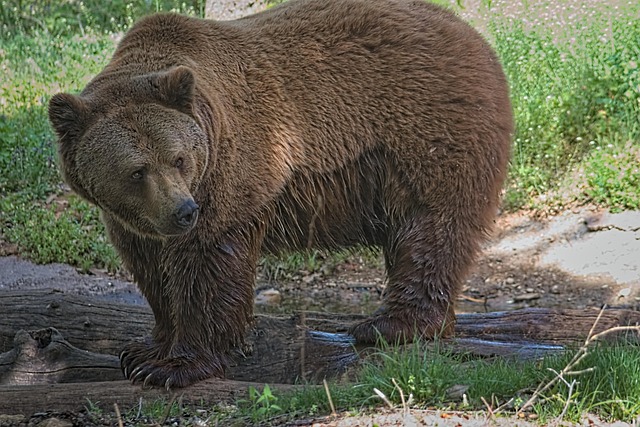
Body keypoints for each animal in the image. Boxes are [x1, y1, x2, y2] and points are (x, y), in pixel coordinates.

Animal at [48, 0, 513, 389]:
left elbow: (207, 266)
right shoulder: (135, 219)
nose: (183, 211)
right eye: (137, 170)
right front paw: (146, 348)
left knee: (431, 226)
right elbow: (150, 269)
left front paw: (173, 366)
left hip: (425, 132)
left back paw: (392, 325)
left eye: (179, 158)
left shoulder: (229, 171)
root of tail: (471, 32)